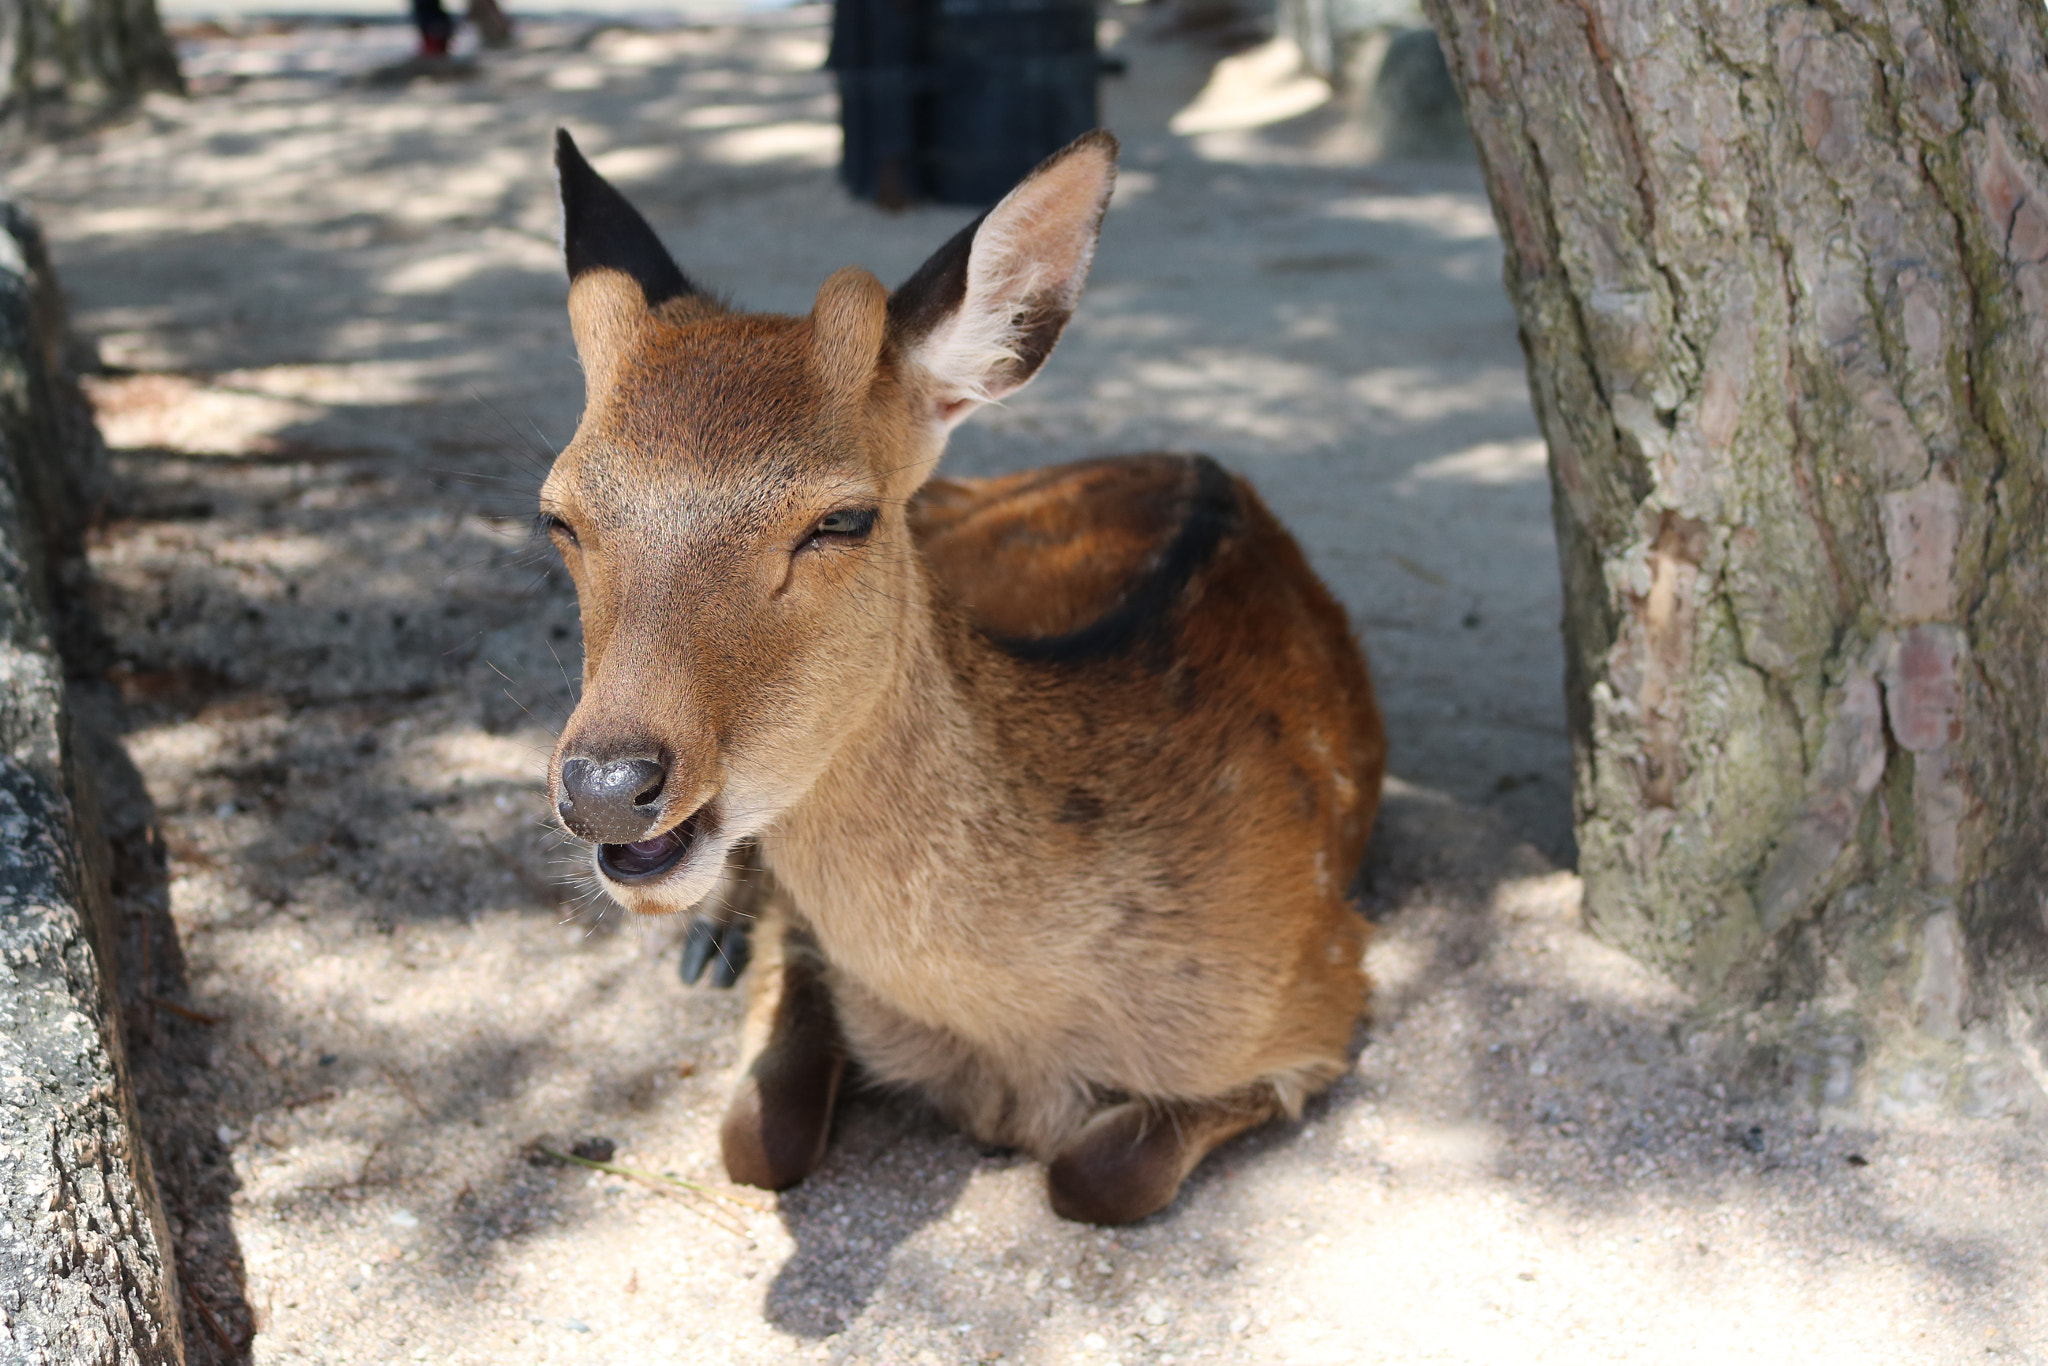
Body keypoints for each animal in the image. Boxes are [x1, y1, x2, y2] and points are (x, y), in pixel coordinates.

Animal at [538, 127, 1386, 1224]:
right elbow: (753, 1136)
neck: (1010, 1031)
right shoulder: (806, 953)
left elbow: (1099, 1173)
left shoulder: (1324, 988)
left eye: (842, 518)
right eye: (558, 516)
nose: (607, 785)